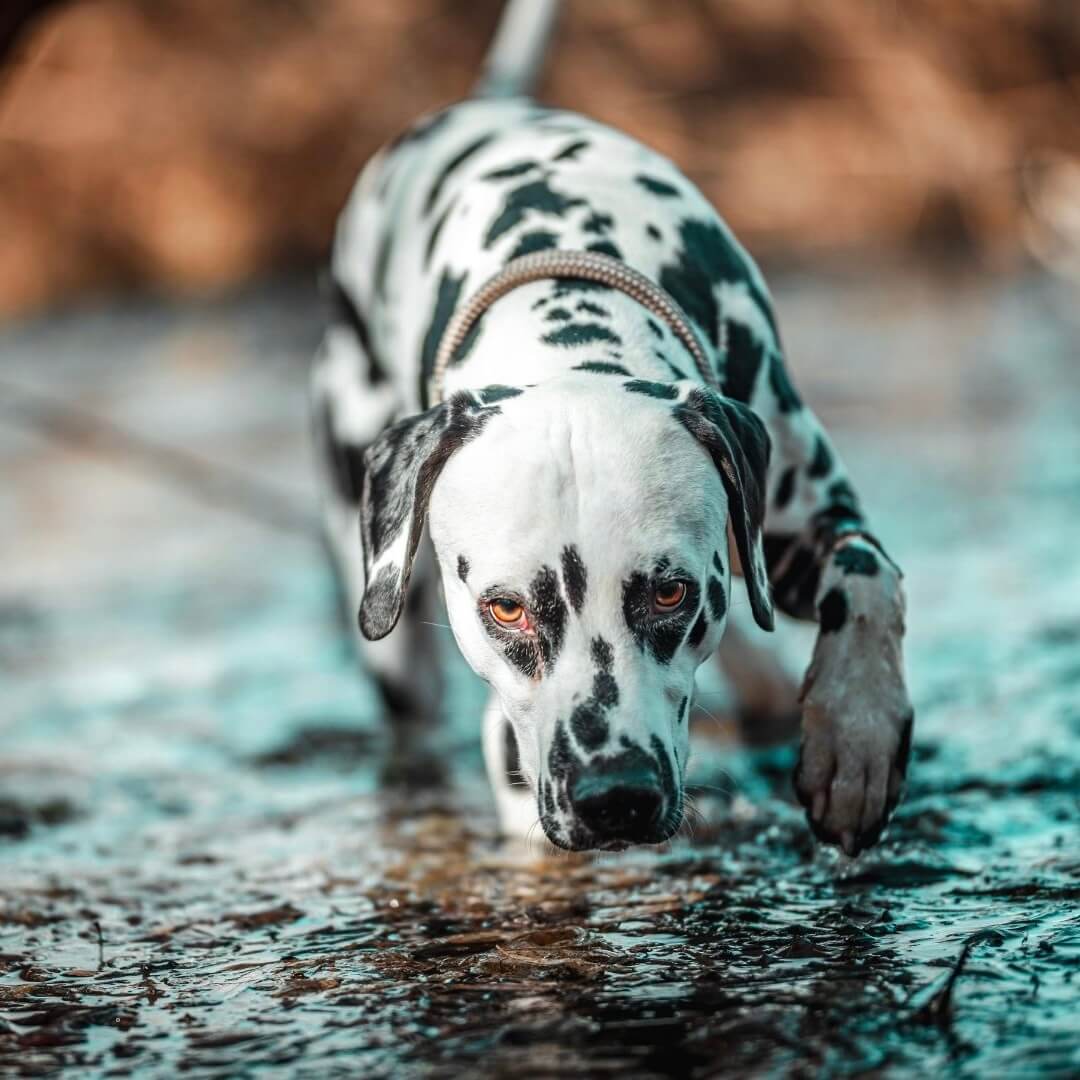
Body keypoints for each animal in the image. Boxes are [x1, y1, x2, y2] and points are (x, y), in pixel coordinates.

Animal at [311, 2, 911, 859]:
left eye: (670, 591)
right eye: (505, 608)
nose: (615, 796)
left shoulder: (800, 526)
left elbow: (867, 579)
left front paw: (856, 747)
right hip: (390, 639)